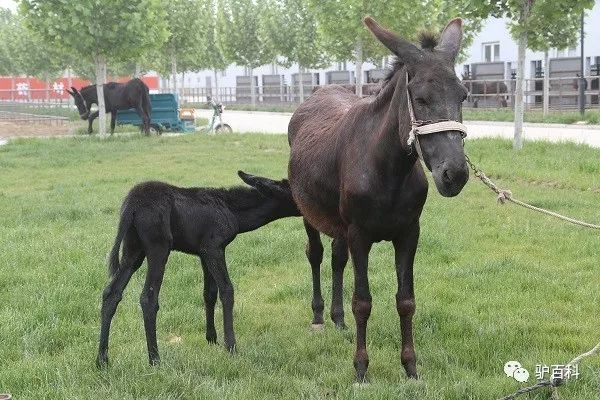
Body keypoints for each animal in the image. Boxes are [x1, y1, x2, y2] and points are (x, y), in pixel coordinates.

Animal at [97, 170, 300, 368]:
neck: (234, 213)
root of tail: (131, 207)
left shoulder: (203, 253)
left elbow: (209, 293)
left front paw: (212, 339)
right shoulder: (214, 248)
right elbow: (227, 290)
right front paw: (231, 346)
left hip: (133, 250)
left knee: (111, 293)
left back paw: (102, 360)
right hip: (158, 247)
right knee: (148, 297)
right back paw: (154, 359)